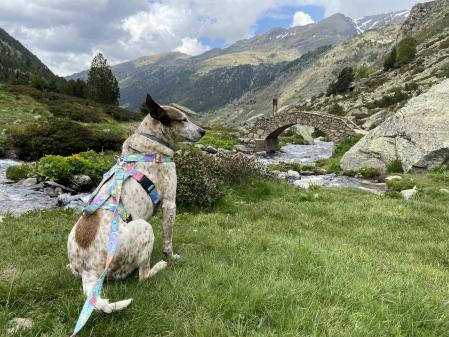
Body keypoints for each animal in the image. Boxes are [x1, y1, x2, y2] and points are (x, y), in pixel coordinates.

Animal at [66, 94, 205, 312]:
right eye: (183, 119)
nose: (203, 131)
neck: (150, 144)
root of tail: (90, 271)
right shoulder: (169, 204)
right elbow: (168, 241)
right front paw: (171, 257)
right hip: (145, 228)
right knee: (143, 276)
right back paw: (159, 266)